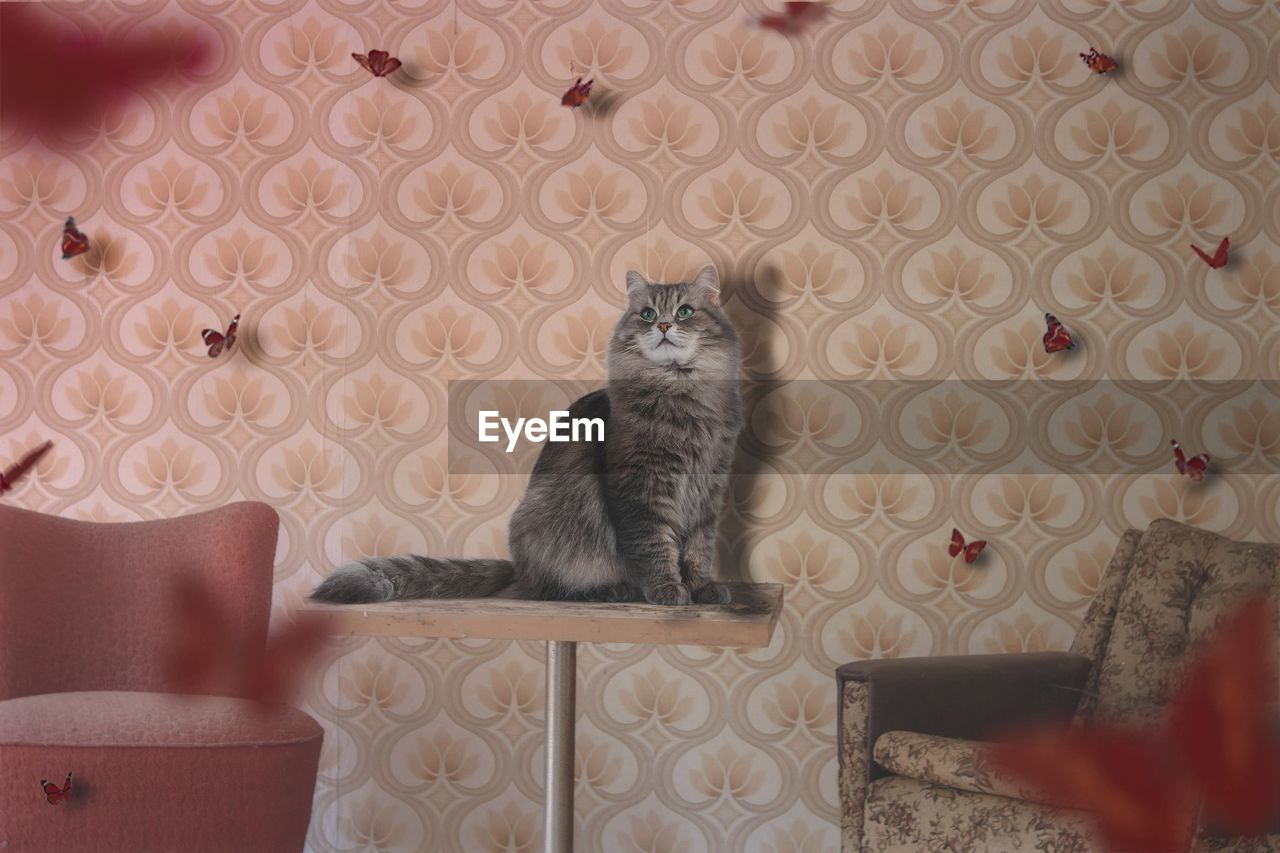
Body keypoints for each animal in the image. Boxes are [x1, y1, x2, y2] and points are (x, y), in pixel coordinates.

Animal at [311, 266, 747, 604]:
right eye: (647, 313)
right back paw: (609, 591)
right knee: (550, 588)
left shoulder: (709, 489)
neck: (682, 395)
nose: (663, 324)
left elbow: (698, 549)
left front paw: (701, 589)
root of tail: (518, 568)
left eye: (685, 311)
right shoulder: (641, 488)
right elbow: (656, 546)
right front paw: (667, 590)